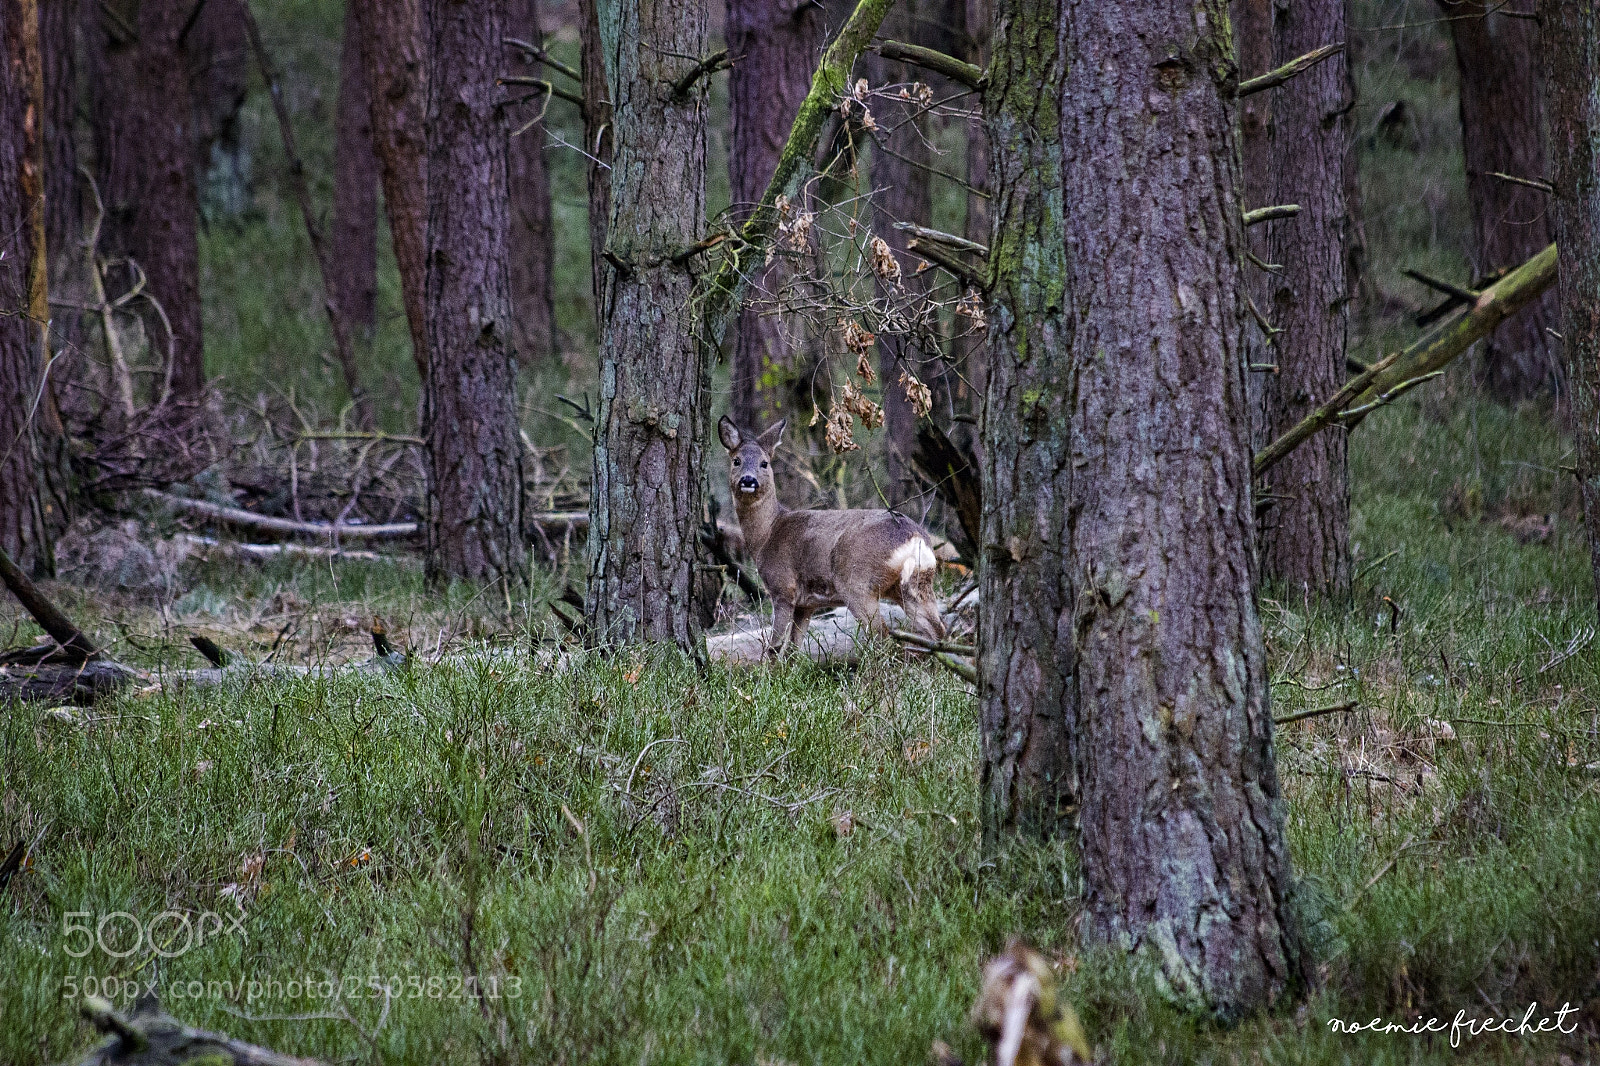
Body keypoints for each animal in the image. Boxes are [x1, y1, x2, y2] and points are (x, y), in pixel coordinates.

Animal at [717, 416, 947, 654]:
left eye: (764, 463)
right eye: (736, 461)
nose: (748, 480)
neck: (768, 534)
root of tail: (915, 538)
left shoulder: (783, 587)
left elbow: (775, 647)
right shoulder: (806, 604)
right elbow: (793, 648)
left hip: (856, 583)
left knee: (882, 636)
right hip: (915, 586)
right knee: (938, 631)